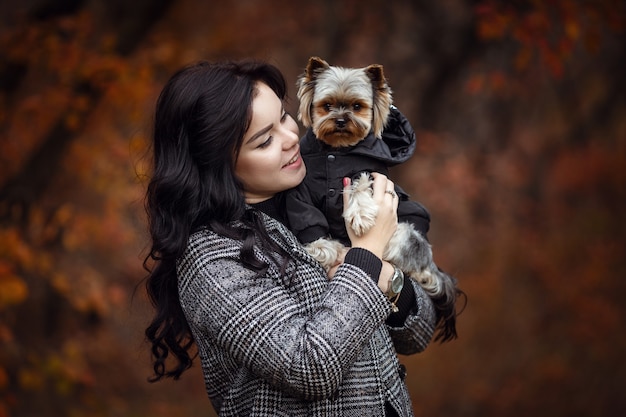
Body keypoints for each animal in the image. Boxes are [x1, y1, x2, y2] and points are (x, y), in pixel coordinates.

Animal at [288, 56, 458, 342]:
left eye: (357, 106)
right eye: (327, 106)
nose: (341, 120)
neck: (337, 151)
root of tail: (429, 264)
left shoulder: (367, 173)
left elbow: (358, 186)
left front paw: (359, 217)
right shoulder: (301, 191)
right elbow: (307, 217)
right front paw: (321, 248)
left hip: (405, 235)